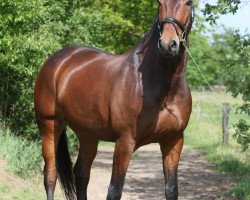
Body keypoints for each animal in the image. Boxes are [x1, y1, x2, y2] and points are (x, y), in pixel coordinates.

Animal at [33, 0, 193, 200]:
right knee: (51, 175)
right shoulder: (125, 141)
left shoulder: (173, 141)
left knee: (81, 174)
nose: (167, 45)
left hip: (87, 135)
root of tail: (56, 61)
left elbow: (171, 190)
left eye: (189, 3)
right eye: (159, 3)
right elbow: (114, 191)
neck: (163, 89)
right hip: (49, 126)